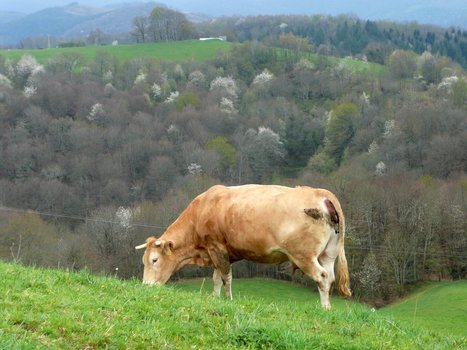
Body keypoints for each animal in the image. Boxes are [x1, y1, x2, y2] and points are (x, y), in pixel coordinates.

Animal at [135, 183, 352, 308]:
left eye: (154, 260)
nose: (145, 286)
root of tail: (321, 193)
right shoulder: (216, 252)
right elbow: (216, 279)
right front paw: (215, 298)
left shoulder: (217, 248)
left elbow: (226, 278)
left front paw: (228, 299)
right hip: (329, 253)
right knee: (330, 277)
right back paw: (329, 308)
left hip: (303, 255)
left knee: (322, 277)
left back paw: (324, 308)